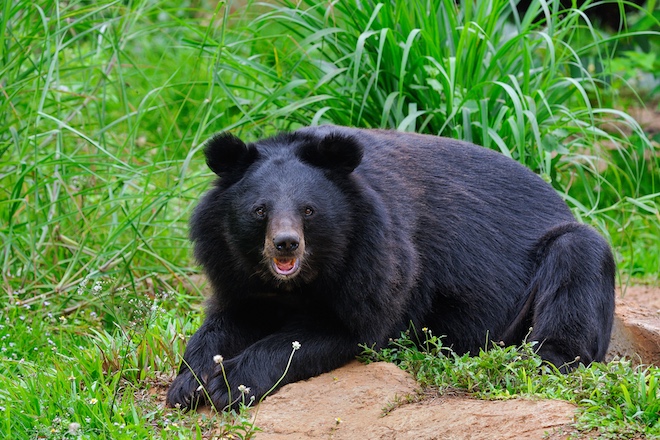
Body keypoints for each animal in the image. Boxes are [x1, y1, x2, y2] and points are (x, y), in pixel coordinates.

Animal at [166, 125, 620, 410]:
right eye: (260, 210)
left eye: (308, 210)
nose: (285, 244)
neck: (300, 280)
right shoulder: (231, 263)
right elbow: (227, 320)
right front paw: (189, 384)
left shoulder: (377, 260)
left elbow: (338, 331)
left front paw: (227, 386)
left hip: (557, 263)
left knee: (578, 257)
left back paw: (541, 357)